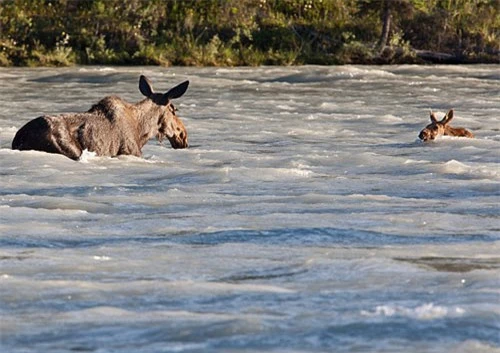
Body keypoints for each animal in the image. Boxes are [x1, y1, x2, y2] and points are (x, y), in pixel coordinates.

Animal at [13, 75, 190, 161]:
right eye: (174, 110)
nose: (183, 136)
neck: (143, 132)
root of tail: (19, 138)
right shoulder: (131, 151)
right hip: (69, 149)